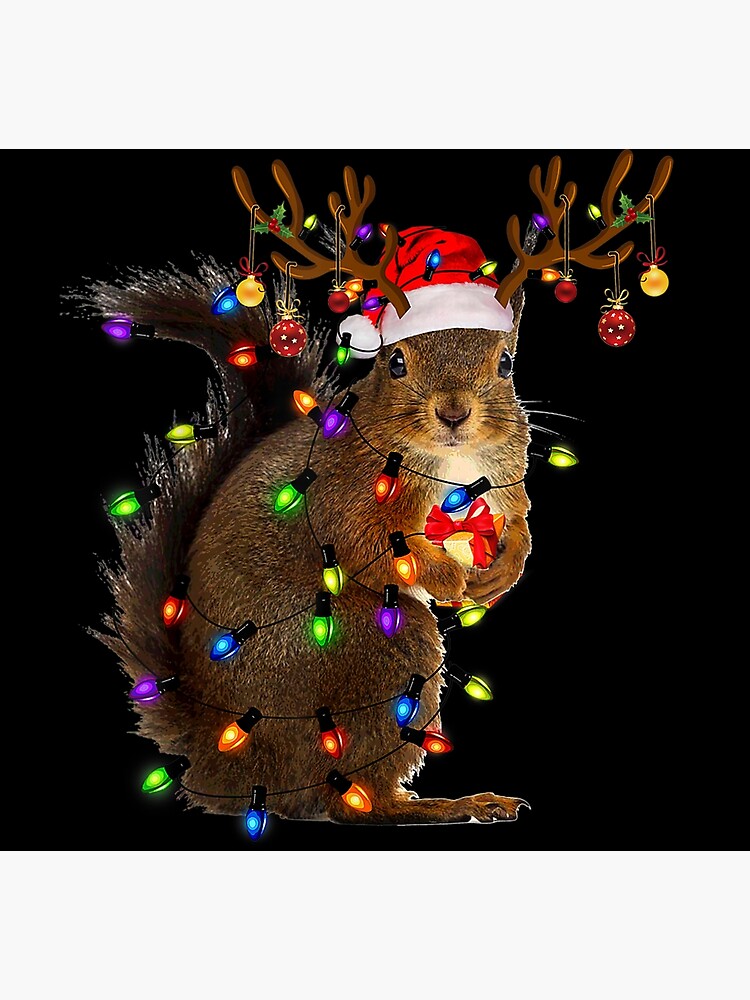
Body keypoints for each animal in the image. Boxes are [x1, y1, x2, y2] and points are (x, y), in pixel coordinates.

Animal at [84, 153, 672, 834]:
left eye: (505, 364)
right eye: (395, 363)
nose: (454, 413)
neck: (452, 464)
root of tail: (223, 759)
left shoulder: (505, 472)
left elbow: (520, 518)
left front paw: (505, 570)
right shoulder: (347, 489)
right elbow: (369, 548)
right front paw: (449, 579)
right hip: (380, 653)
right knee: (349, 804)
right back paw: (456, 804)